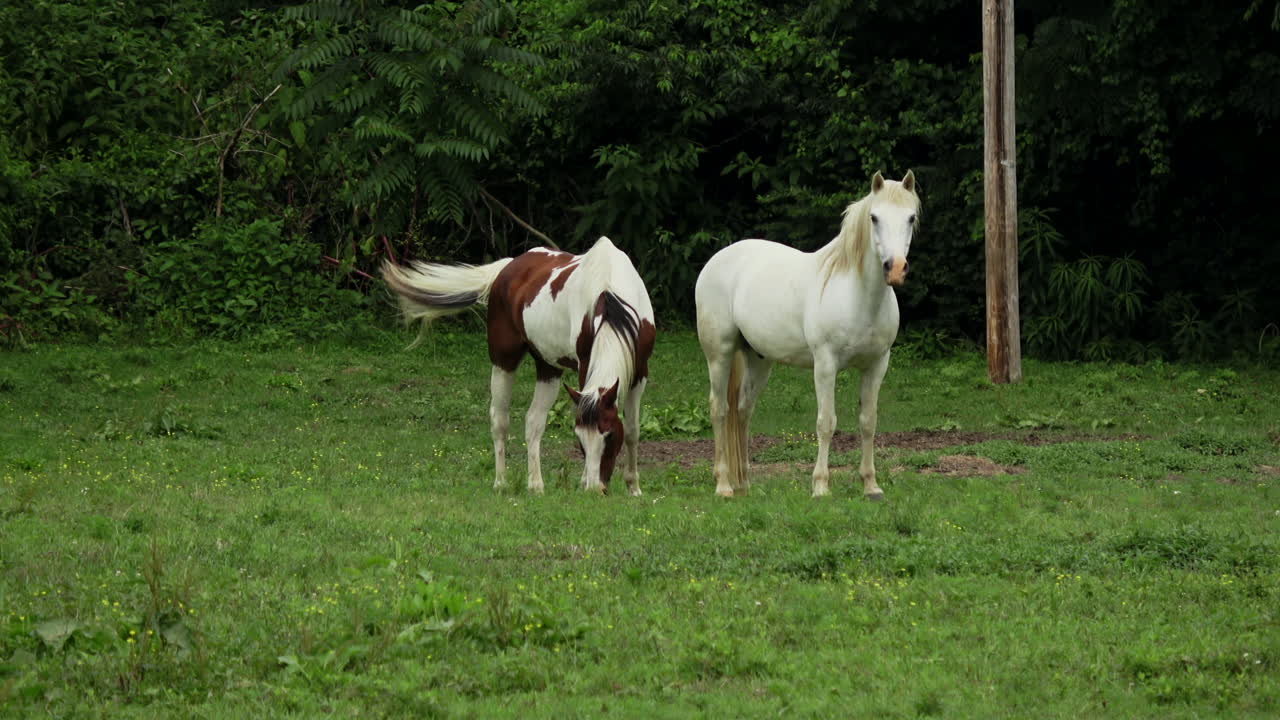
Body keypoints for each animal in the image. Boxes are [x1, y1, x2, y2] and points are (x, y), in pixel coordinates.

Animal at [382, 237, 656, 495]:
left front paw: (633, 487)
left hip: (548, 368)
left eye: (609, 435)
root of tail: (508, 267)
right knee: (500, 420)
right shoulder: (585, 366)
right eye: (579, 438)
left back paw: (536, 485)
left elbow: (632, 430)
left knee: (534, 421)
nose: (595, 490)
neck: (611, 296)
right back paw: (501, 483)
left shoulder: (640, 372)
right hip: (504, 362)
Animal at [695, 170, 920, 500]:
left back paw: (744, 484)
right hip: (719, 354)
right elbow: (826, 423)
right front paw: (821, 486)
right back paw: (723, 485)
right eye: (874, 218)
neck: (857, 295)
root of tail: (716, 260)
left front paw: (871, 485)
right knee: (720, 410)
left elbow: (868, 422)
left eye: (911, 218)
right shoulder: (825, 365)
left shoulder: (877, 365)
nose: (895, 268)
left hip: (759, 360)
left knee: (743, 410)